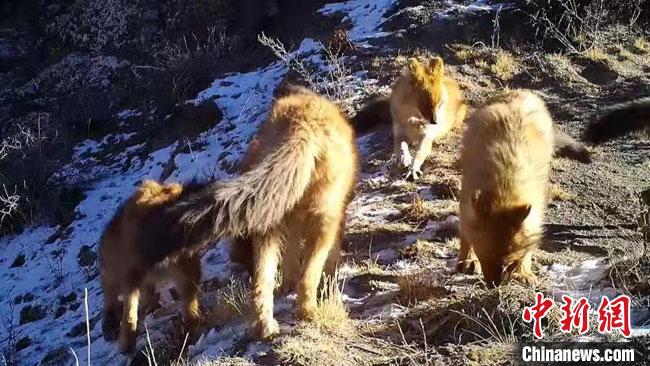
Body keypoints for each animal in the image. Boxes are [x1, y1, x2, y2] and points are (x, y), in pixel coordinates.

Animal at [456, 88, 552, 286]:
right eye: (484, 255)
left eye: (508, 256)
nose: (495, 285)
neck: (504, 190)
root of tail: (516, 91)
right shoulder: (467, 203)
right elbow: (465, 237)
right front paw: (467, 261)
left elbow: (527, 247)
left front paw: (523, 272)